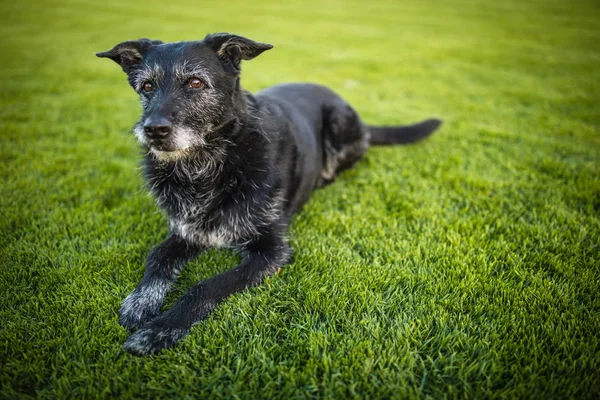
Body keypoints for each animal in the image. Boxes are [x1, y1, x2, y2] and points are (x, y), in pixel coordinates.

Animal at [95, 32, 440, 354]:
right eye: (147, 87)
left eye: (195, 82)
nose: (153, 130)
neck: (206, 166)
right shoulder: (186, 232)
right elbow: (157, 256)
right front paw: (140, 302)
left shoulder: (271, 252)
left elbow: (206, 286)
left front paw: (161, 329)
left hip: (339, 124)